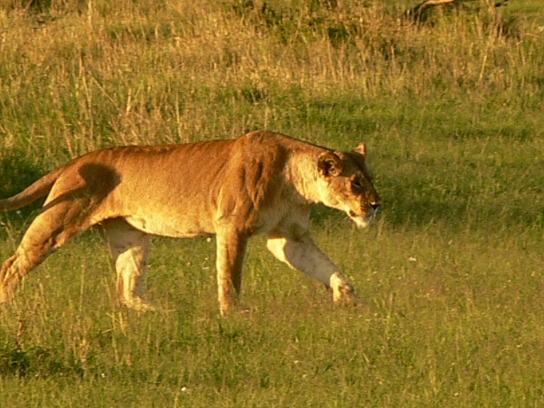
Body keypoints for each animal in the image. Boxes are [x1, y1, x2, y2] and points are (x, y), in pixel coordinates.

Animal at [0, 130, 380, 314]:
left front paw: (351, 300)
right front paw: (234, 313)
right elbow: (229, 275)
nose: (376, 205)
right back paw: (7, 306)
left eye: (370, 180)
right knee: (11, 264)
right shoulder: (232, 225)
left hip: (131, 236)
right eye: (355, 183)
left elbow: (326, 266)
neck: (295, 179)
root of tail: (77, 159)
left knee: (127, 288)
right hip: (57, 222)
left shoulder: (288, 237)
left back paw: (159, 312)